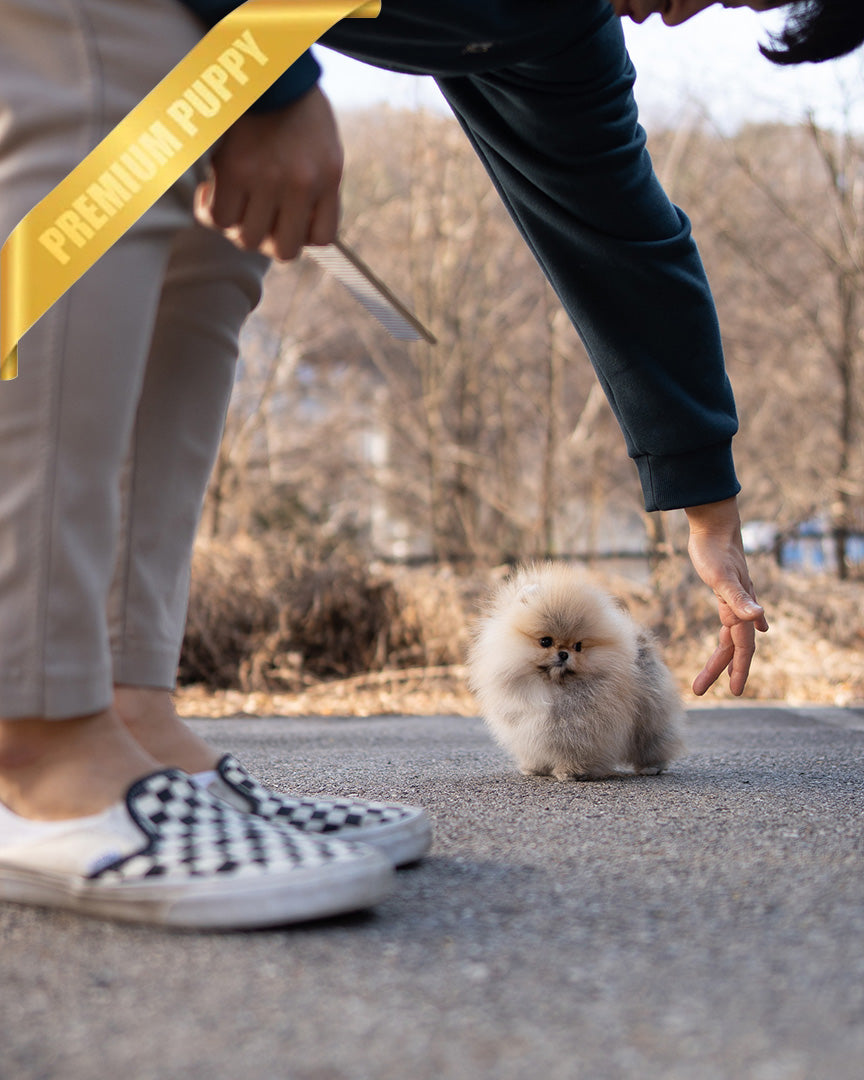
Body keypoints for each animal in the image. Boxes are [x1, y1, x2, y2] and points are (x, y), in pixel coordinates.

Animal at [468, 561, 686, 781]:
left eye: (578, 646)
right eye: (545, 641)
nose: (564, 654)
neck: (551, 687)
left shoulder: (580, 728)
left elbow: (575, 750)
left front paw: (571, 772)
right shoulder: (525, 726)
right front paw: (535, 768)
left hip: (650, 716)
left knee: (653, 740)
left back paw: (652, 766)